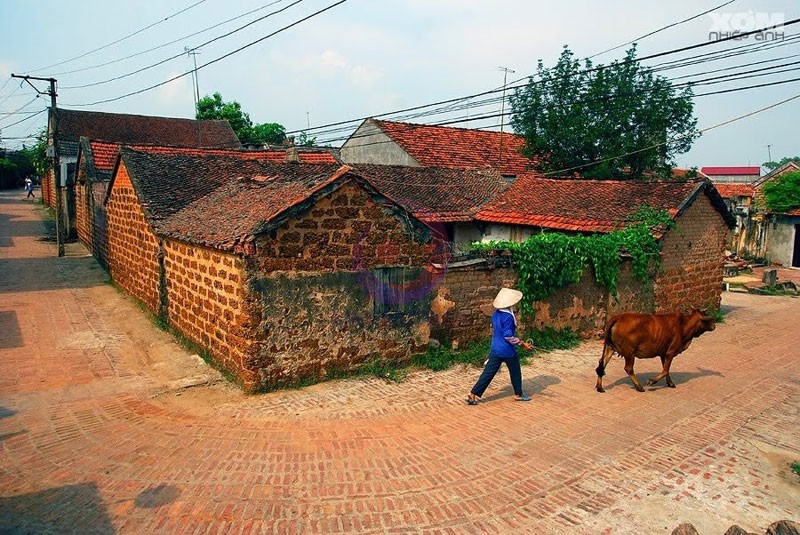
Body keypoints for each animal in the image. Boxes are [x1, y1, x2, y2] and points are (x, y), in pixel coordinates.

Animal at [592, 310, 720, 394]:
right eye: (707, 320)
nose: (714, 326)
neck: (684, 325)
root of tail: (618, 317)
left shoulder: (663, 354)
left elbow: (666, 369)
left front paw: (670, 383)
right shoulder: (670, 352)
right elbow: (665, 370)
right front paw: (651, 381)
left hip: (610, 348)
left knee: (601, 365)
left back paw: (600, 387)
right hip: (629, 353)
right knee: (628, 368)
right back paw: (639, 386)